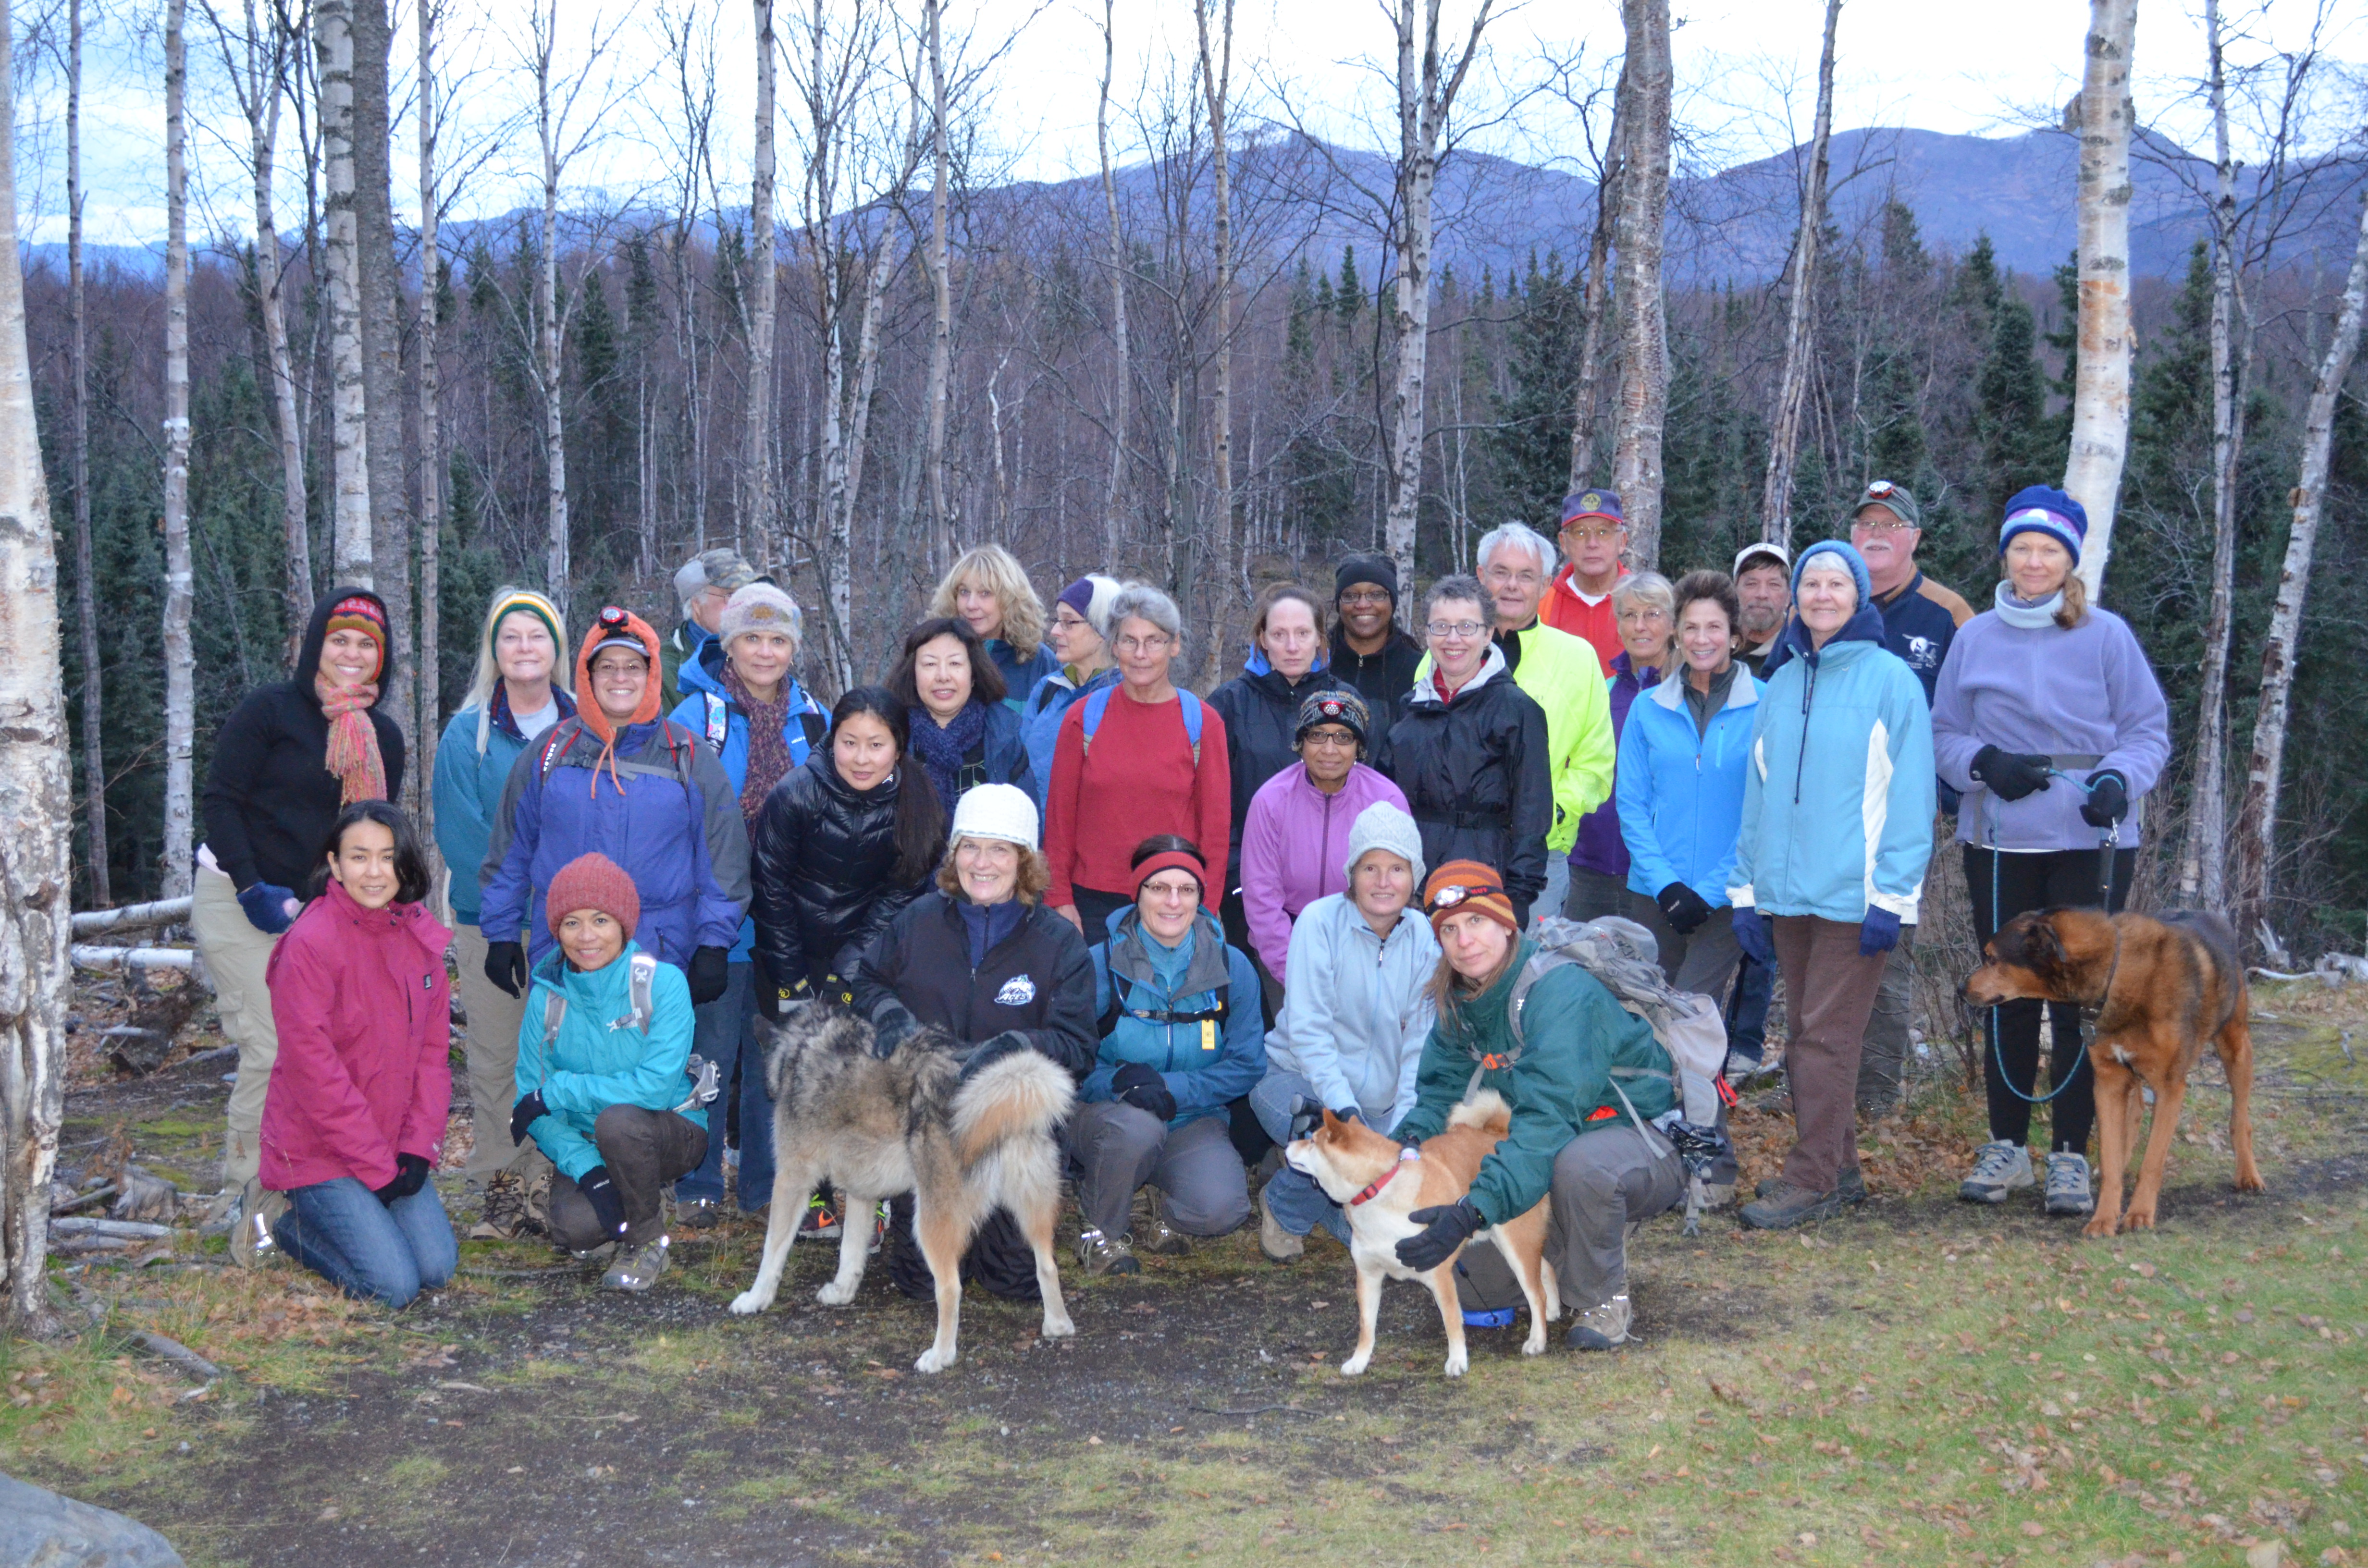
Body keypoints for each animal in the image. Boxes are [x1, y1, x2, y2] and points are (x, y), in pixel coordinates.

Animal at [727, 1005, 1076, 1373]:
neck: (801, 1048)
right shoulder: (862, 1192)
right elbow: (850, 1252)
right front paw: (841, 1293)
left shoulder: (792, 1179)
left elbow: (772, 1251)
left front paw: (755, 1299)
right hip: (1032, 1212)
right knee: (1047, 1265)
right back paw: (1057, 1325)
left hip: (929, 1224)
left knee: (950, 1289)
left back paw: (939, 1357)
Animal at [1285, 1092, 1560, 1377]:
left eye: (1312, 1142)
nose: (1289, 1143)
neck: (1378, 1189)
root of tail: (1501, 1135)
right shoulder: (1368, 1276)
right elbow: (1366, 1328)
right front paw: (1359, 1361)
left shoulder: (1439, 1274)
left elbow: (1452, 1322)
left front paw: (1457, 1361)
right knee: (1546, 1269)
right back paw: (1552, 1310)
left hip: (1514, 1244)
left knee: (1535, 1293)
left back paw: (1537, 1339)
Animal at [1962, 907, 2264, 1238]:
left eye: (1992, 958)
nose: (1960, 990)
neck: (2116, 975)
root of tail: (2217, 917)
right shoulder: (2108, 1082)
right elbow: (2110, 1157)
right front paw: (2104, 1218)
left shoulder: (2170, 1087)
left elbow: (2153, 1162)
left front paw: (2140, 1214)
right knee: (2136, 1112)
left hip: (2237, 1049)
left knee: (2240, 1119)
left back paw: (2248, 1174)